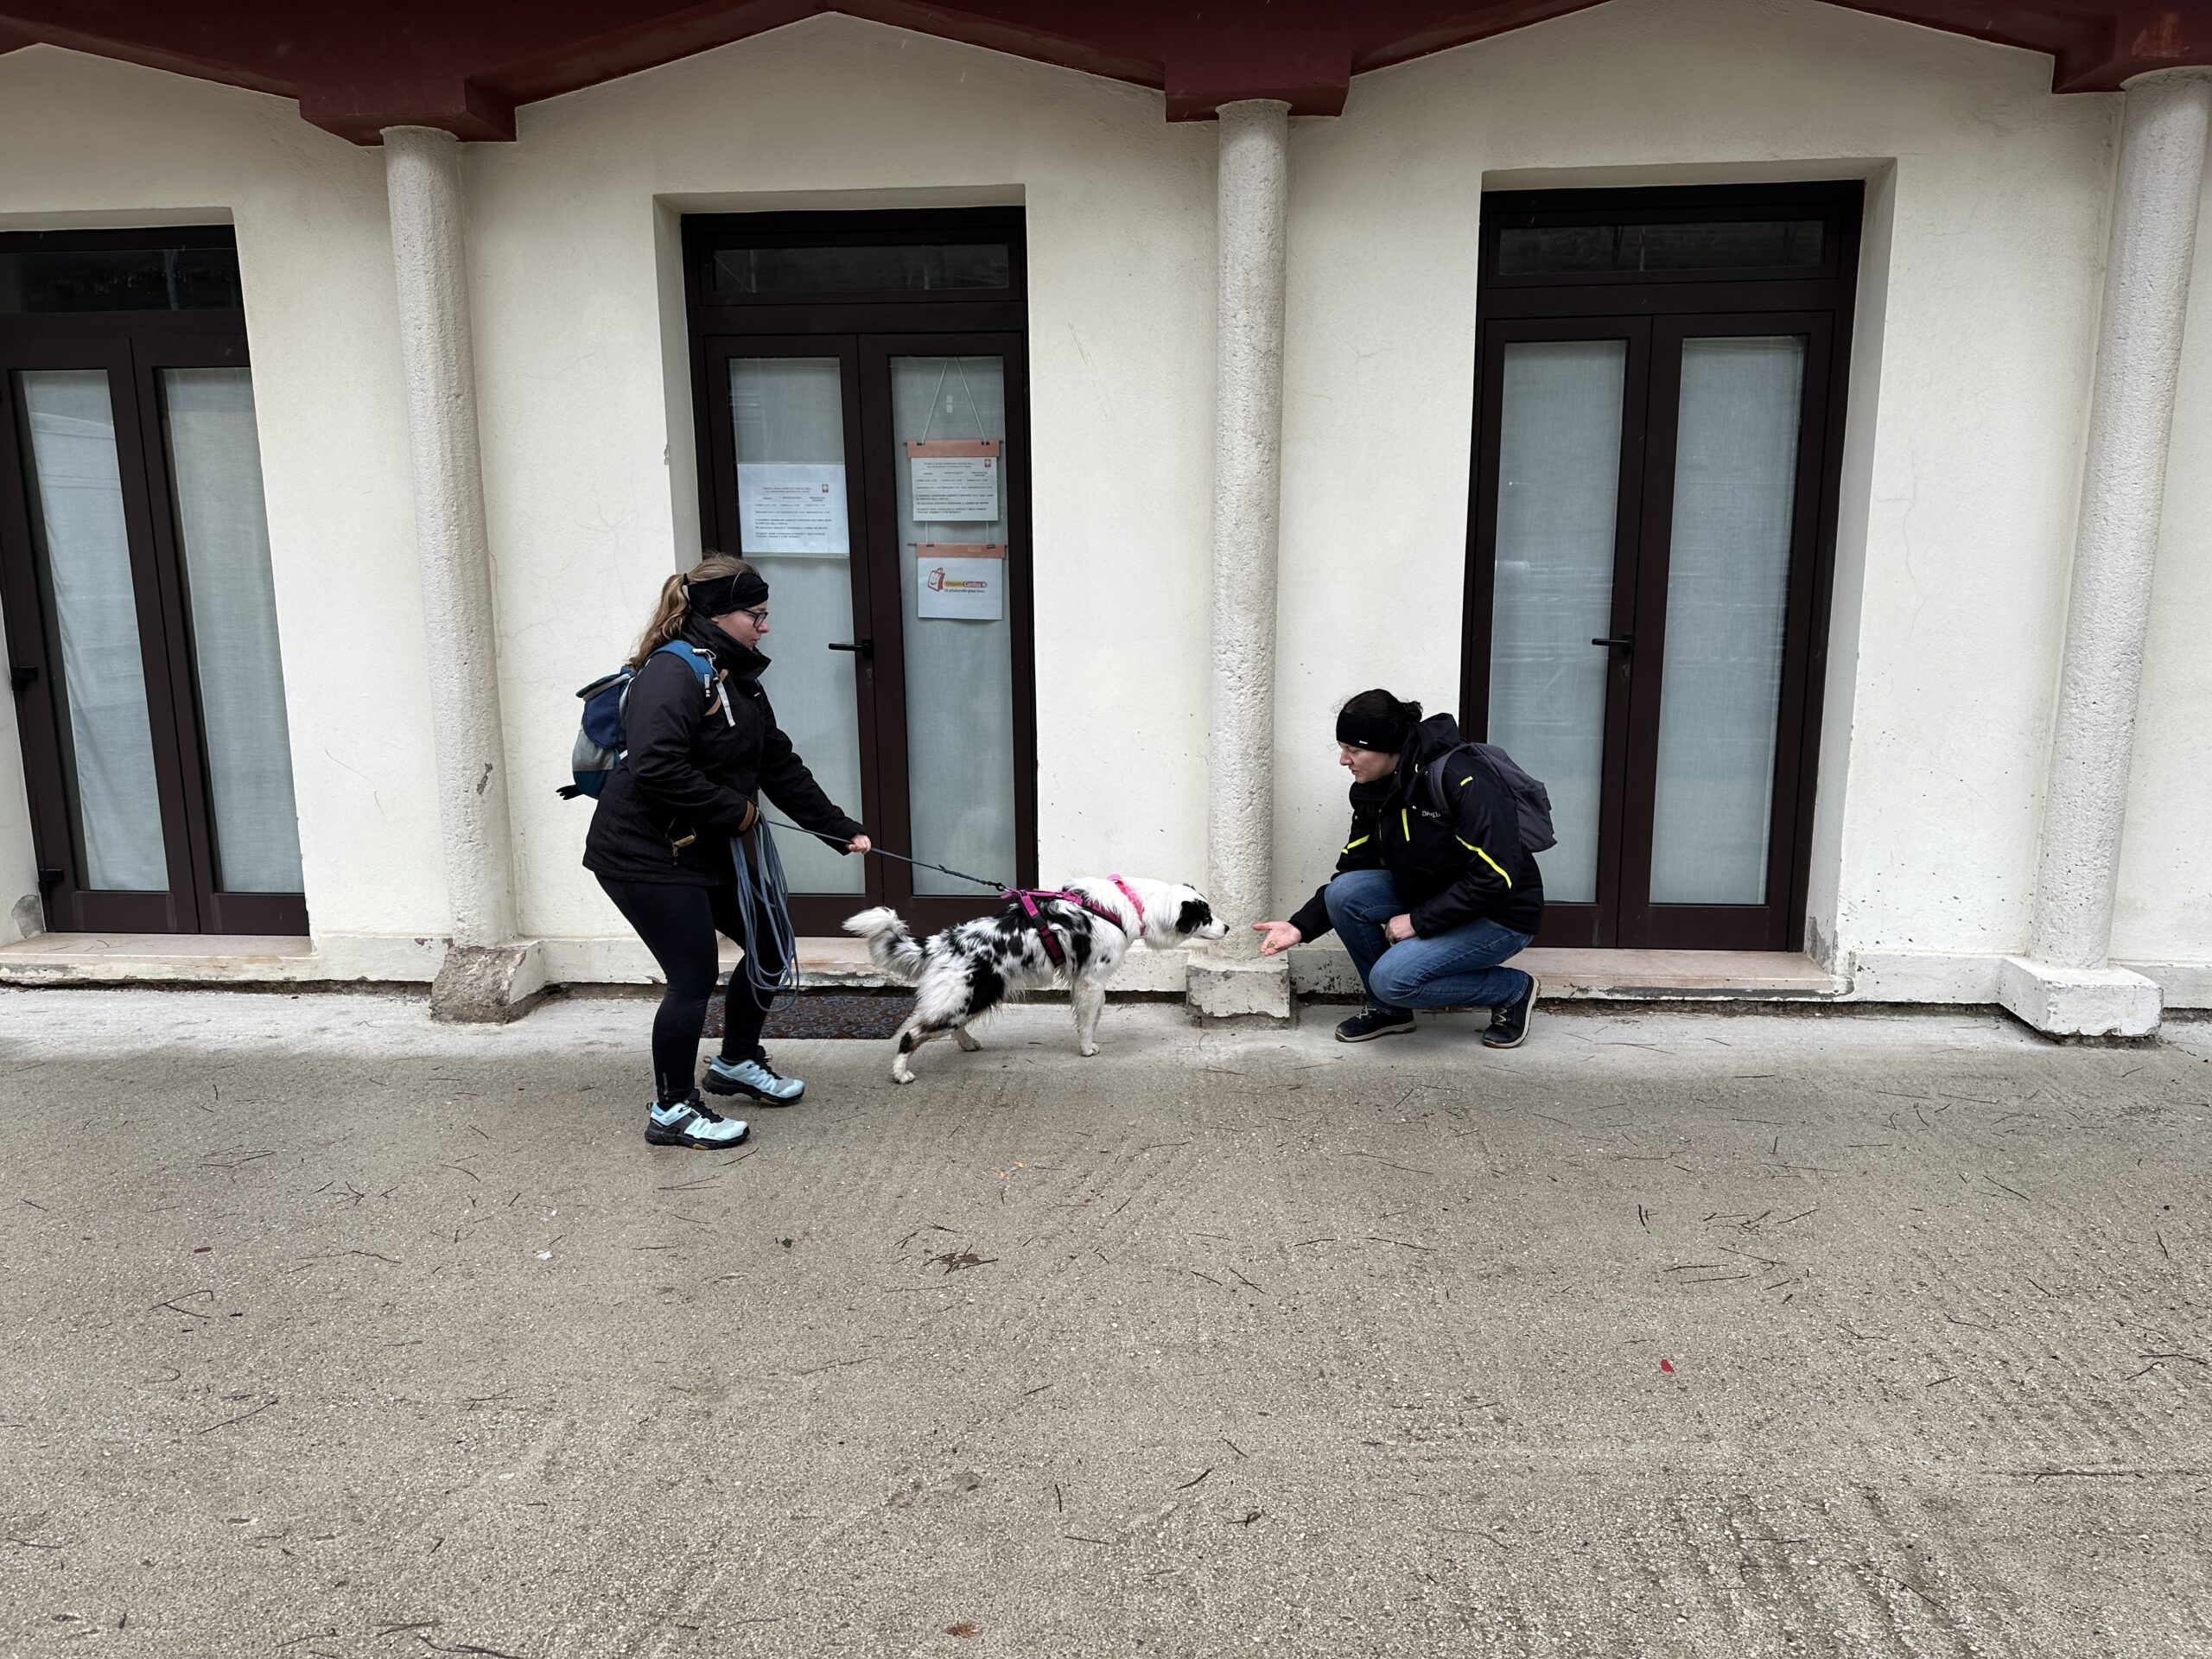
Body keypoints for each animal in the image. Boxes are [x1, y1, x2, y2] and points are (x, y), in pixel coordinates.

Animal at [844, 877, 1228, 1083]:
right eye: (1206, 916)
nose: (1227, 927)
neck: (1133, 904)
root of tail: (942, 942)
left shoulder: (1087, 981)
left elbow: (1093, 1015)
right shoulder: (1091, 980)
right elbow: (1089, 1019)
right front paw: (1087, 1049)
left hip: (976, 995)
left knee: (951, 1026)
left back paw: (968, 1043)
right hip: (968, 996)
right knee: (911, 1034)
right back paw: (900, 1073)